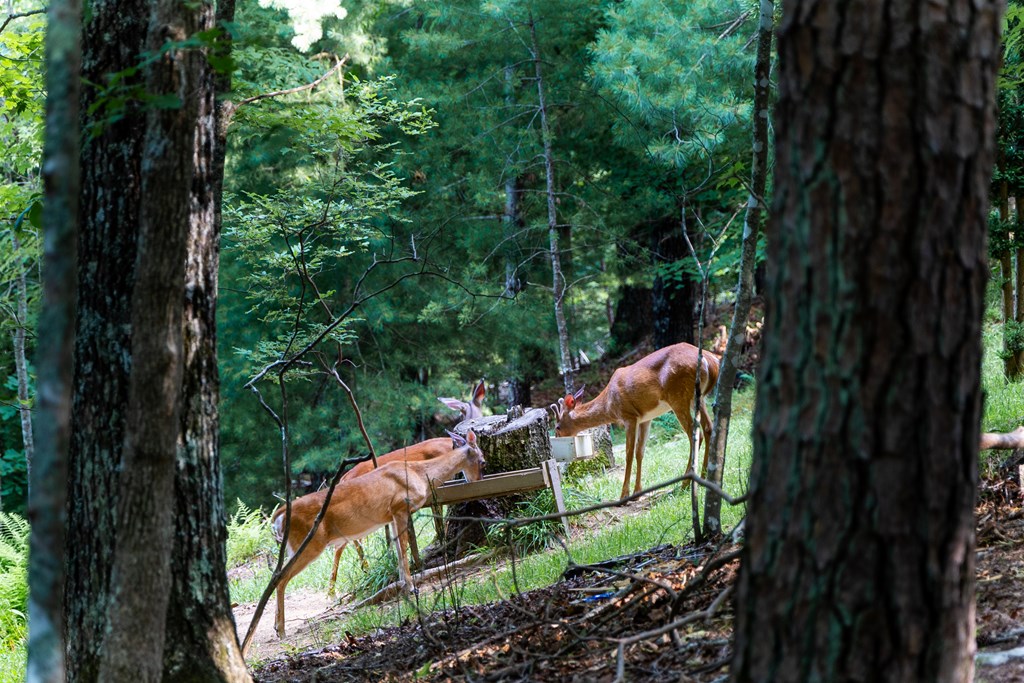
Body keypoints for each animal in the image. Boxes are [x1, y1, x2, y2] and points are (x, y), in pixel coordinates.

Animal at [270, 430, 481, 638]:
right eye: (482, 460)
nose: (477, 481)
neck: (419, 474)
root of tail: (279, 516)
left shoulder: (392, 517)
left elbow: (398, 552)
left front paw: (404, 586)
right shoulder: (400, 507)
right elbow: (403, 550)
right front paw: (412, 587)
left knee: (277, 575)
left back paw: (277, 626)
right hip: (309, 543)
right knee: (281, 578)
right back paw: (282, 630)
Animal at [552, 344, 720, 499]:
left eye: (557, 426)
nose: (557, 437)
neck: (609, 404)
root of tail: (710, 360)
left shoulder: (629, 416)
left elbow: (629, 453)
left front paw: (624, 494)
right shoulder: (645, 418)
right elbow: (640, 452)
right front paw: (638, 491)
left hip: (678, 396)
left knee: (695, 434)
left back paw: (685, 483)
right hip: (699, 398)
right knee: (708, 427)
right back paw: (704, 476)